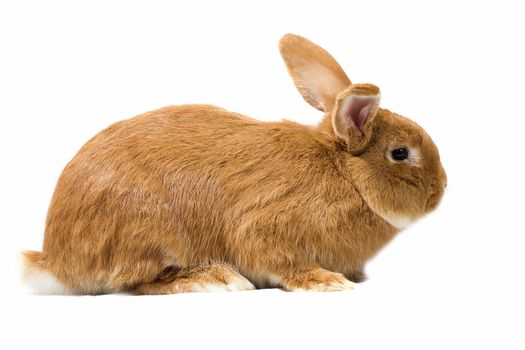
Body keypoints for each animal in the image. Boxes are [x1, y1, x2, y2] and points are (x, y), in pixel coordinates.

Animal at [20, 34, 446, 294]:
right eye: (400, 153)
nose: (440, 190)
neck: (347, 176)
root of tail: (56, 258)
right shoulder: (265, 227)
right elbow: (282, 261)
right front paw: (327, 281)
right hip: (150, 230)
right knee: (138, 282)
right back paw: (215, 279)